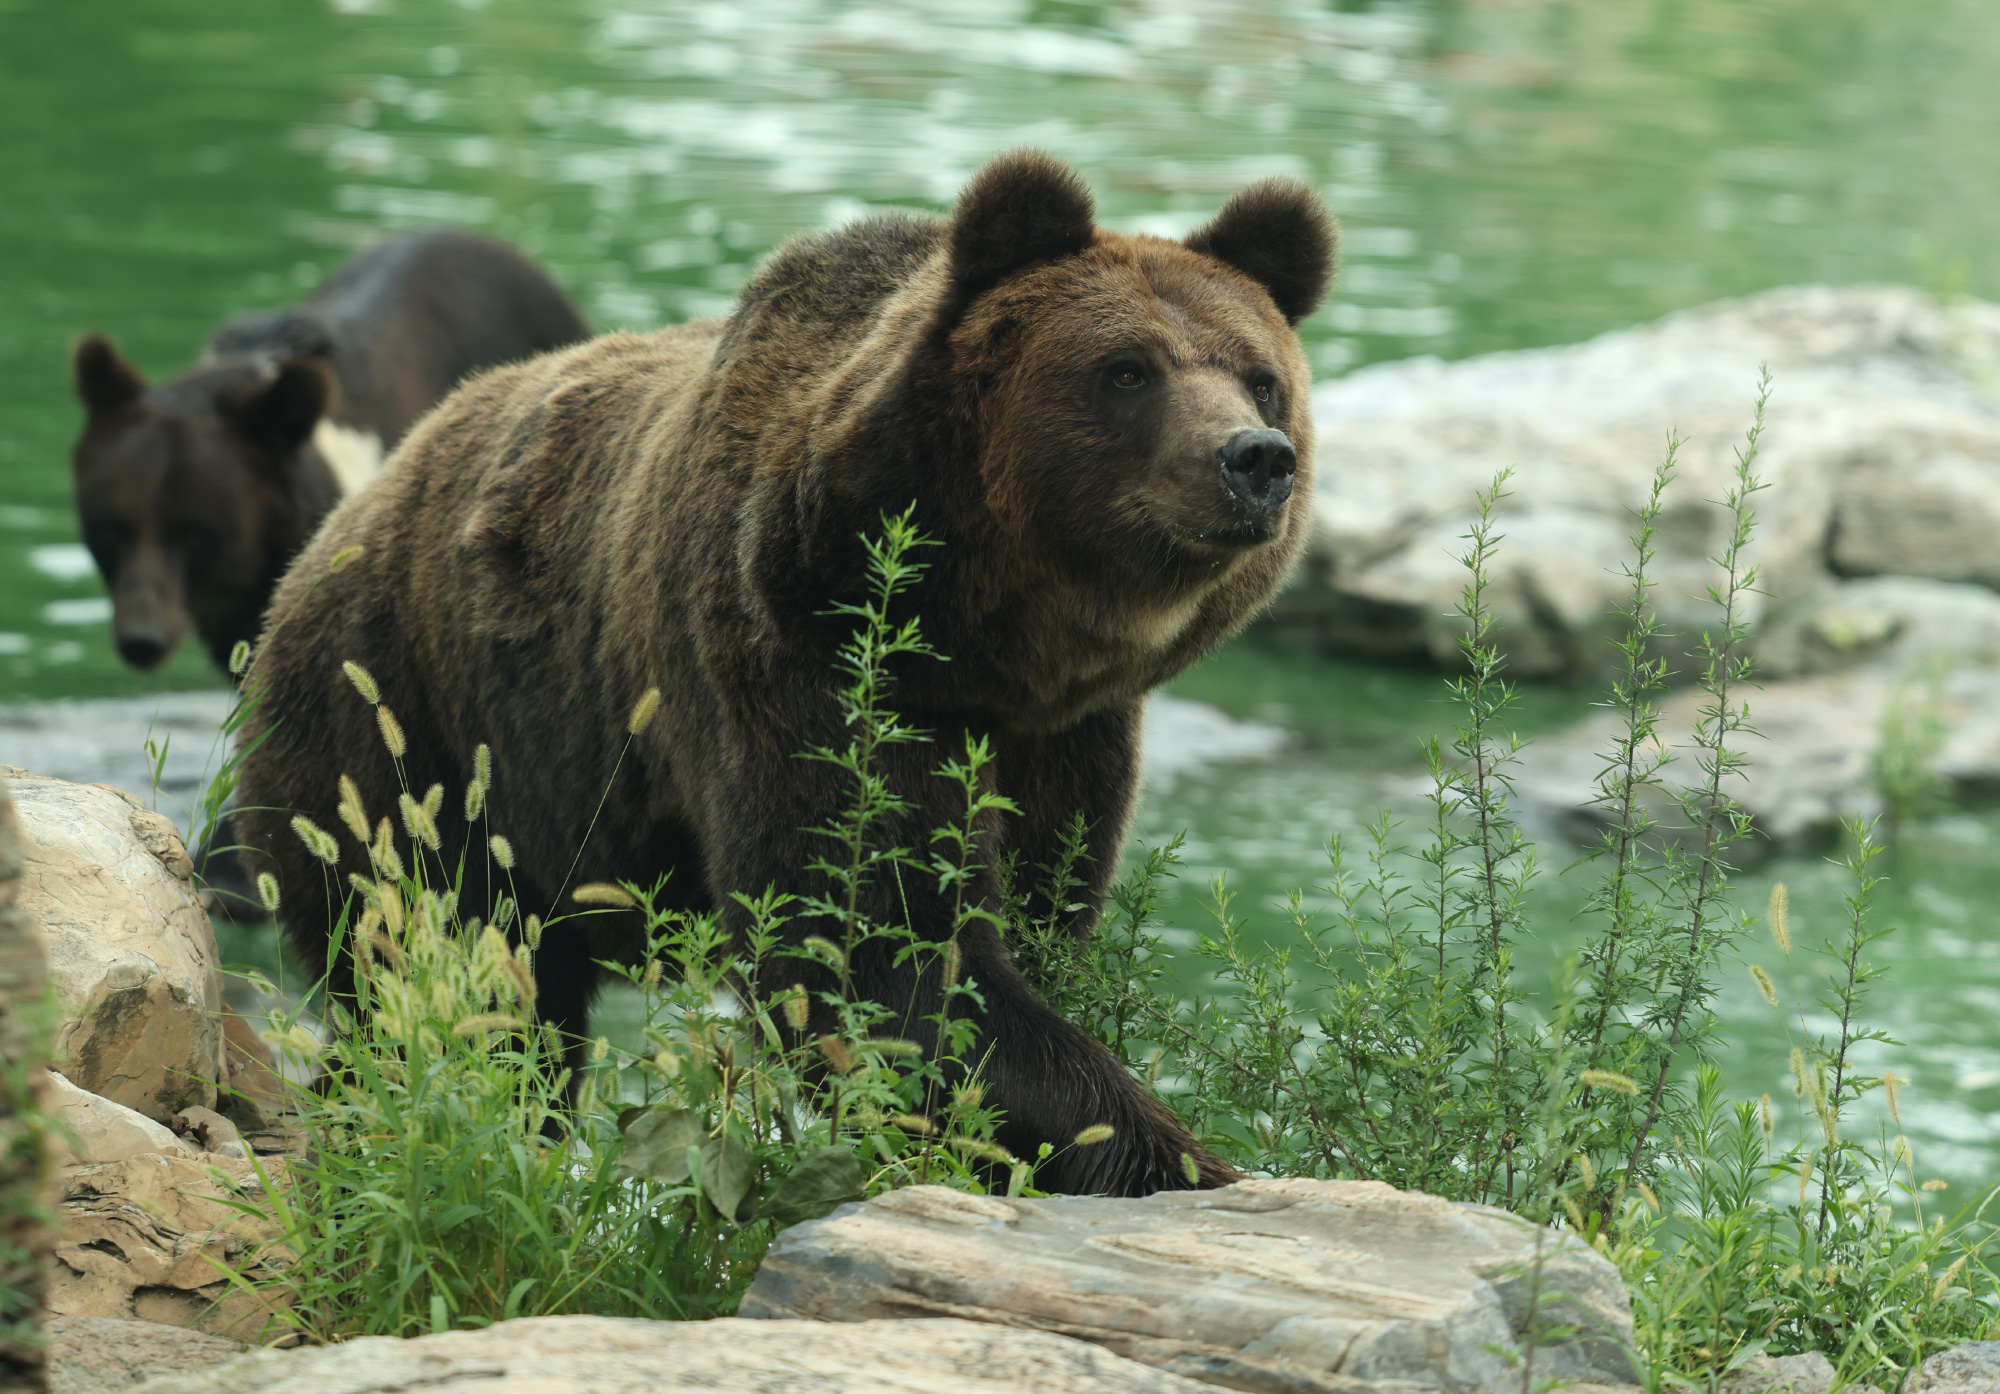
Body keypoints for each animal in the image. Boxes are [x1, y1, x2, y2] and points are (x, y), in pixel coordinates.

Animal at [235, 150, 1335, 1197]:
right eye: (1127, 369)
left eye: (1260, 375)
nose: (1254, 458)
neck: (990, 637)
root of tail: (324, 543)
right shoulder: (798, 659)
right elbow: (869, 948)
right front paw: (1179, 1158)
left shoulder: (1068, 737)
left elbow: (1034, 904)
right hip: (411, 733)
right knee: (448, 980)